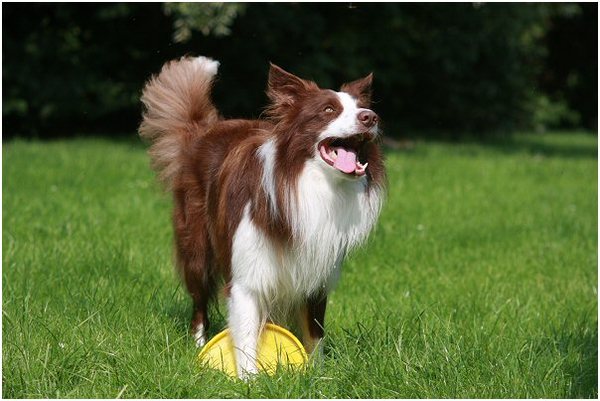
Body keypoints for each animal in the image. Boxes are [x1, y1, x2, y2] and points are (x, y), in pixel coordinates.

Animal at [139, 56, 386, 378]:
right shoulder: (246, 277)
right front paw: (248, 380)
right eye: (328, 110)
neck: (311, 187)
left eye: (361, 107)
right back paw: (198, 343)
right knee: (199, 302)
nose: (371, 117)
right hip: (196, 247)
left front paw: (317, 375)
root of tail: (203, 130)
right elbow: (245, 336)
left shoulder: (317, 275)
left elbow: (315, 334)